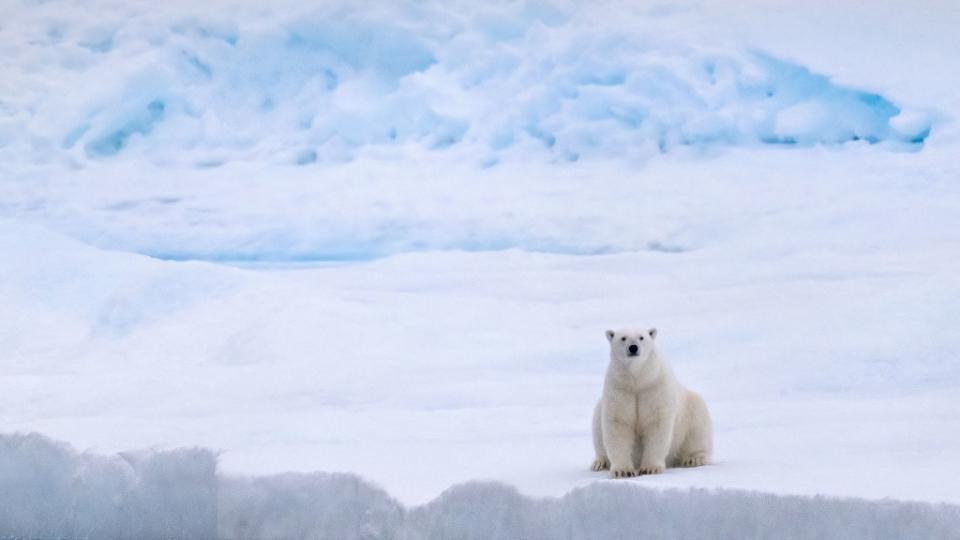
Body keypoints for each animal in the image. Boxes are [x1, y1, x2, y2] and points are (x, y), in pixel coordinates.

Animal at [588, 326, 708, 478]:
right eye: (623, 338)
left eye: (641, 337)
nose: (633, 347)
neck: (638, 379)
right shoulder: (620, 389)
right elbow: (618, 424)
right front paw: (623, 471)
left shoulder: (654, 387)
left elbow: (656, 424)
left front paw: (650, 468)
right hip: (600, 407)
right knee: (597, 427)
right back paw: (599, 463)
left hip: (691, 409)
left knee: (698, 427)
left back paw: (694, 458)